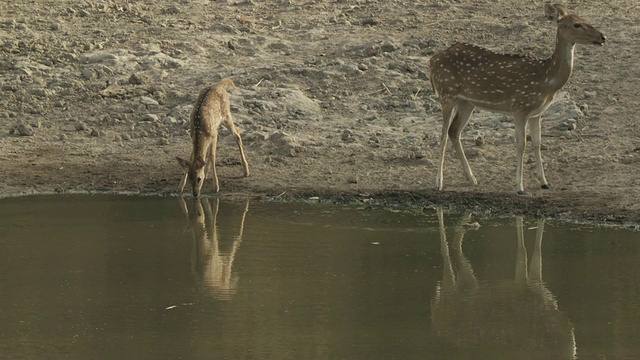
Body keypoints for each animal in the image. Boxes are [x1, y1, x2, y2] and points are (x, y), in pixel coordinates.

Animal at [430, 3, 604, 194]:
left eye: (584, 19)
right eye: (576, 24)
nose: (602, 37)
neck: (547, 80)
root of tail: (432, 60)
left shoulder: (537, 113)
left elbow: (537, 142)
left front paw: (544, 182)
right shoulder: (520, 107)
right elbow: (521, 144)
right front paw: (520, 186)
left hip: (467, 102)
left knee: (454, 131)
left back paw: (472, 178)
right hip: (446, 93)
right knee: (443, 135)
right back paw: (439, 182)